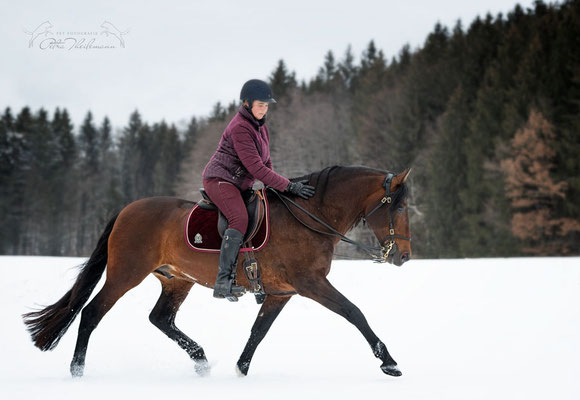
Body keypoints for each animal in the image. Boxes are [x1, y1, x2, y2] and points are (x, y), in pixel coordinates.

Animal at [22, 165, 412, 378]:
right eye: (399, 207)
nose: (404, 257)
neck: (311, 217)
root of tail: (127, 209)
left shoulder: (281, 292)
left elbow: (259, 331)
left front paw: (240, 369)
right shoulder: (311, 283)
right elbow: (354, 312)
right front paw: (389, 363)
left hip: (177, 279)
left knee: (160, 318)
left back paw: (201, 360)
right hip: (125, 274)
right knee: (90, 313)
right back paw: (77, 371)